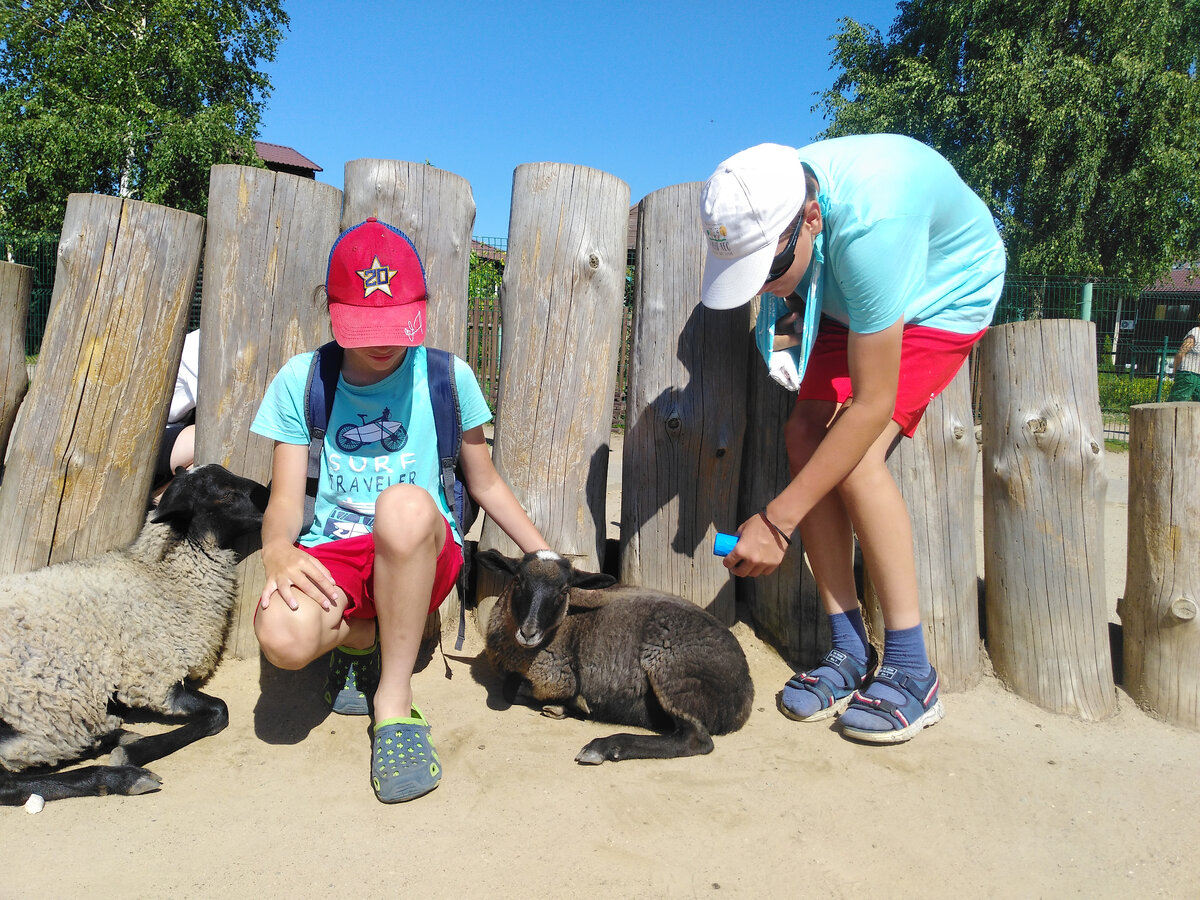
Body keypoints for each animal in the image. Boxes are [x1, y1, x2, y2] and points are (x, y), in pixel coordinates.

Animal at [0, 460, 267, 806]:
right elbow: (220, 710)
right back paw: (120, 777)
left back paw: (113, 736)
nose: (271, 497)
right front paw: (133, 754)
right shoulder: (152, 678)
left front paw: (127, 744)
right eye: (225, 493)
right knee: (10, 781)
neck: (160, 576)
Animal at [475, 547, 748, 763]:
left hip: (674, 676)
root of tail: (745, 695)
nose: (528, 632)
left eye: (564, 590)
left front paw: (569, 705)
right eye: (518, 580)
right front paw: (564, 708)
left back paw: (603, 746)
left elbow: (512, 691)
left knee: (696, 739)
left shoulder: (557, 679)